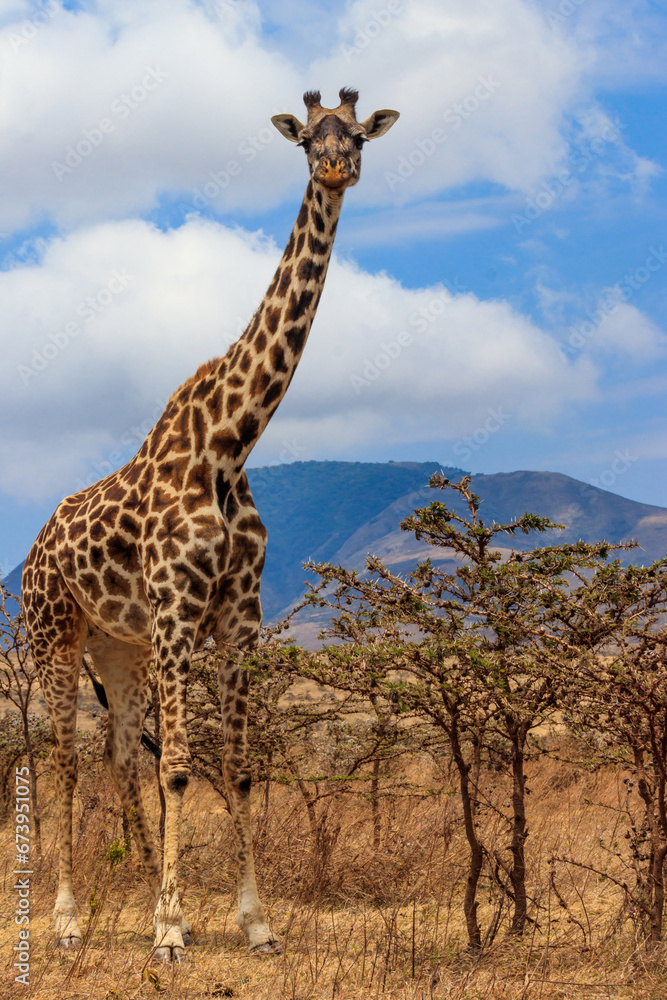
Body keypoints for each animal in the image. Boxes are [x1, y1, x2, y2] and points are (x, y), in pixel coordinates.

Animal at [22, 88, 399, 961]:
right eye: (308, 140)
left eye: (359, 135)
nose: (337, 168)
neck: (231, 442)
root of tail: (29, 553)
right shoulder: (175, 607)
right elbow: (180, 766)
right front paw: (169, 929)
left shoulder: (237, 614)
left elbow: (238, 764)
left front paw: (253, 923)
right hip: (53, 634)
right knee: (63, 761)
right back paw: (65, 919)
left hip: (117, 648)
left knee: (116, 754)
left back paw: (124, 899)